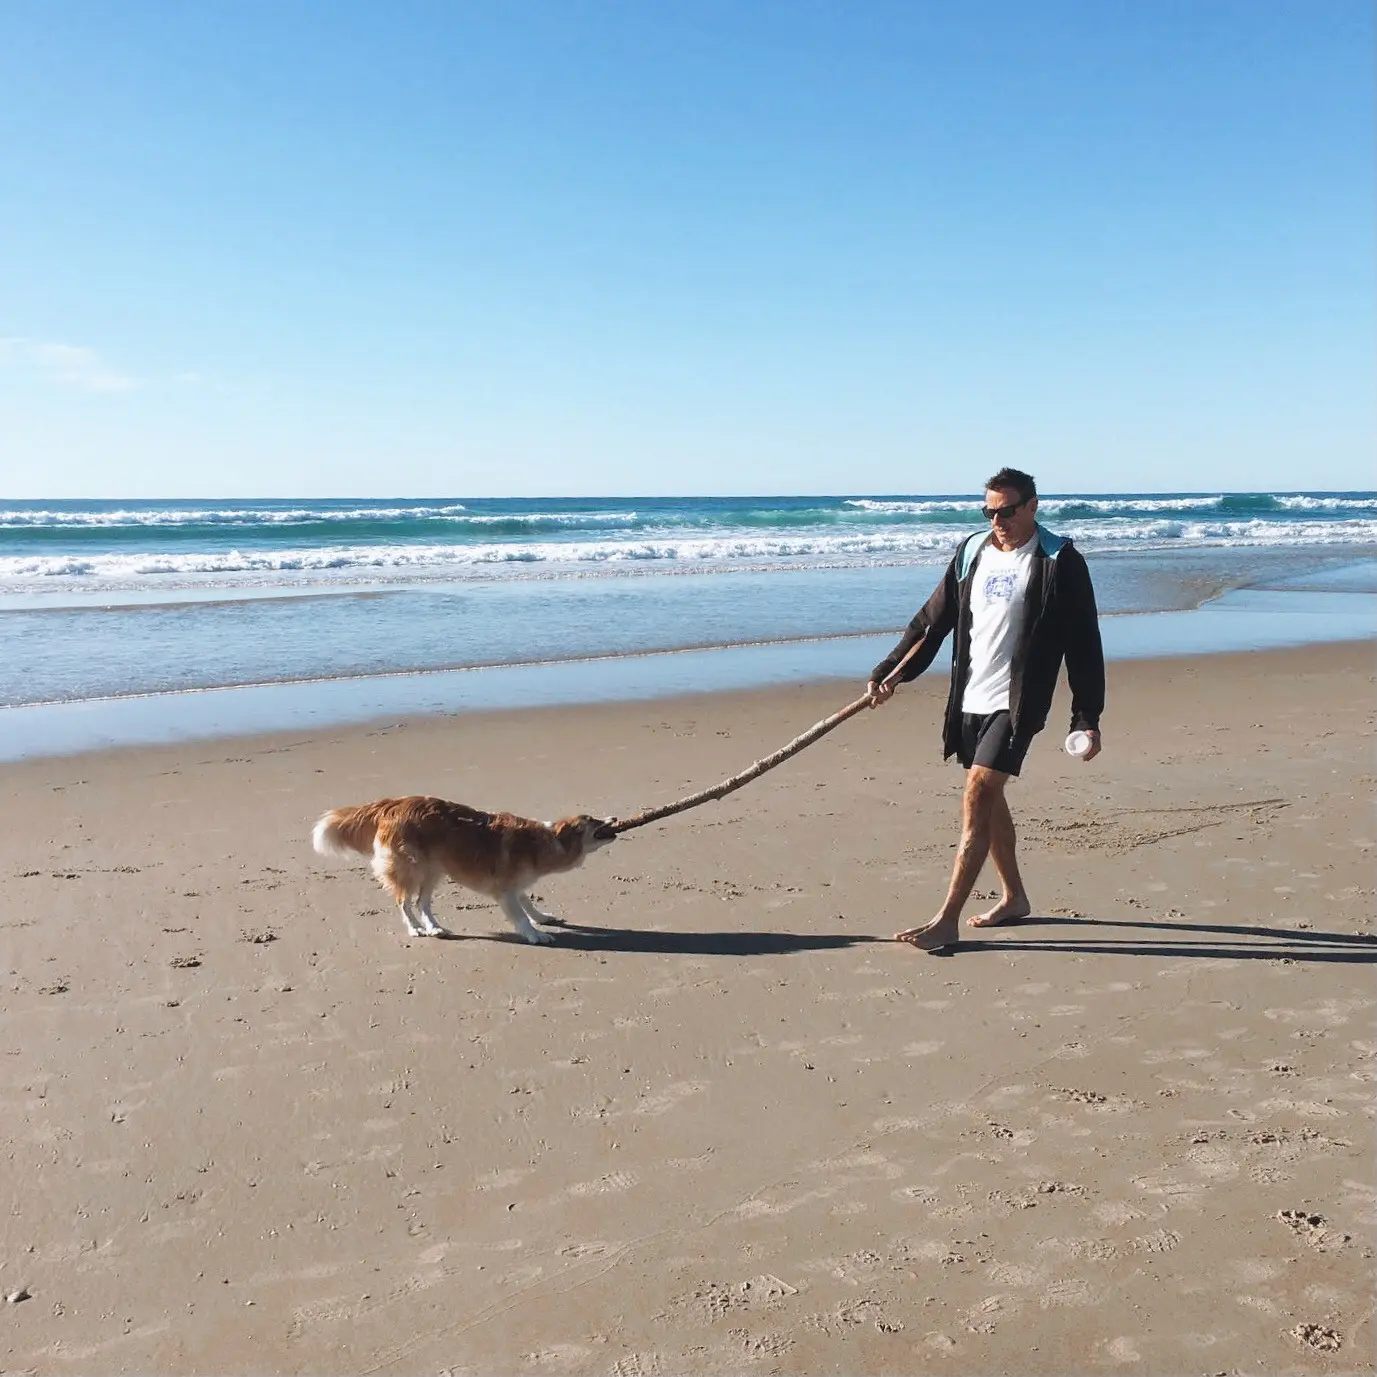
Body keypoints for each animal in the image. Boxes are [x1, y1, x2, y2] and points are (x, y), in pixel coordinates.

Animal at [315, 798, 616, 947]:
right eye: (593, 820)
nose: (614, 817)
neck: (547, 840)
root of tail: (390, 805)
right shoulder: (505, 889)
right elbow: (520, 915)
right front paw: (535, 934)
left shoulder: (516, 885)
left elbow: (527, 902)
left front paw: (541, 917)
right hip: (412, 868)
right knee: (404, 902)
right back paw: (416, 929)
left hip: (433, 869)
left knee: (422, 902)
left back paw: (434, 928)